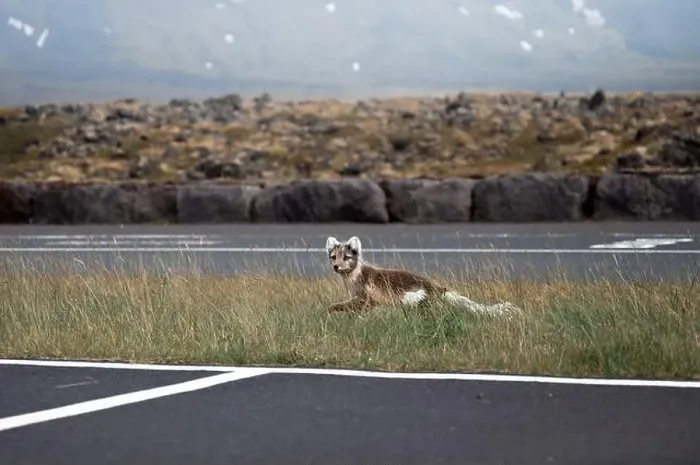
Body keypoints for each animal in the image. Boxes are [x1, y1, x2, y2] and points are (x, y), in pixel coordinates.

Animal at [325, 235, 521, 315]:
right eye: (333, 256)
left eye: (346, 257)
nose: (335, 266)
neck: (354, 277)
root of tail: (438, 287)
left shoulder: (364, 298)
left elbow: (334, 306)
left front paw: (326, 311)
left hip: (408, 298)